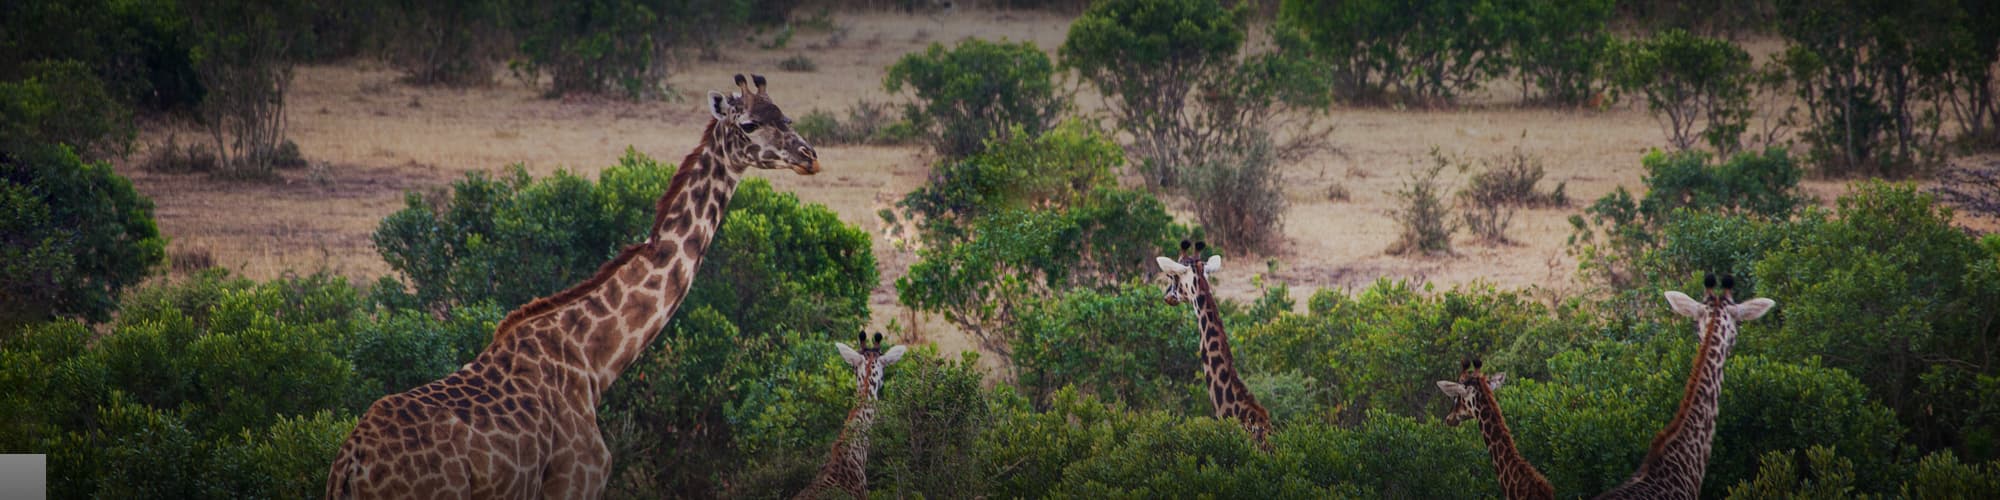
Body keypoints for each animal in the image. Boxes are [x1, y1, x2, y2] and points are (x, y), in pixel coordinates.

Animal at [326, 74, 820, 500]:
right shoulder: (576, 484)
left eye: (787, 117)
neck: (593, 361)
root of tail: (350, 467)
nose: (809, 156)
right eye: (749, 124)